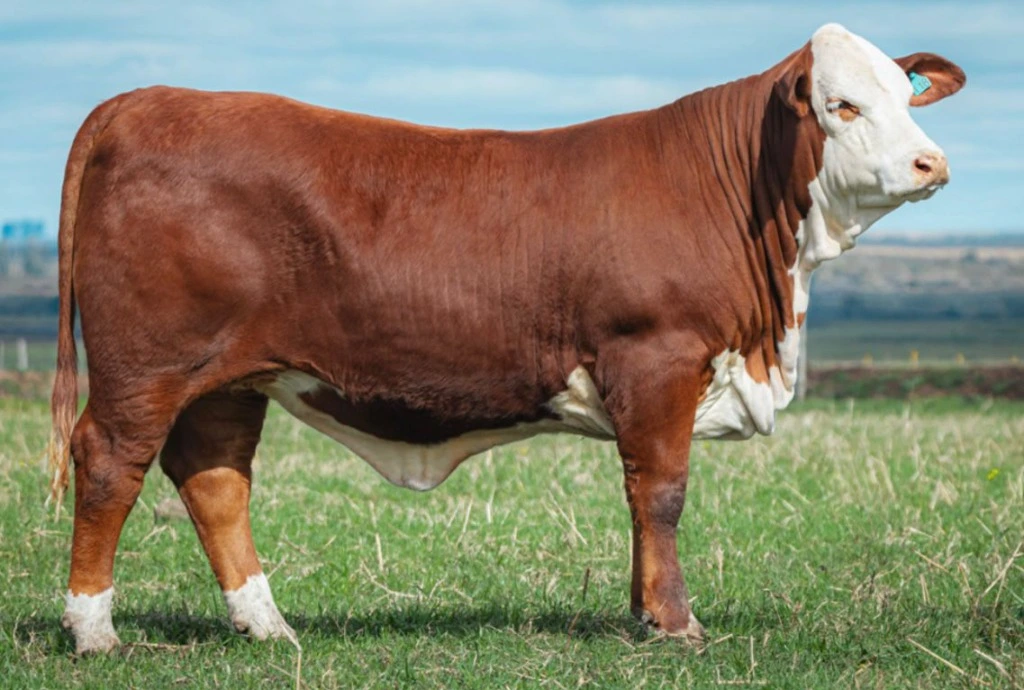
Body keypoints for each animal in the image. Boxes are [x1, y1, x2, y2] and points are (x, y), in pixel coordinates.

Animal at [48, 23, 964, 654]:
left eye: (905, 93)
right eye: (843, 104)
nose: (933, 165)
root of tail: (149, 98)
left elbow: (639, 497)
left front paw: (642, 614)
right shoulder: (657, 357)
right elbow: (662, 494)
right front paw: (676, 623)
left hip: (230, 377)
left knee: (214, 480)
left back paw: (267, 625)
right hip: (146, 366)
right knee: (111, 463)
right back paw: (94, 630)